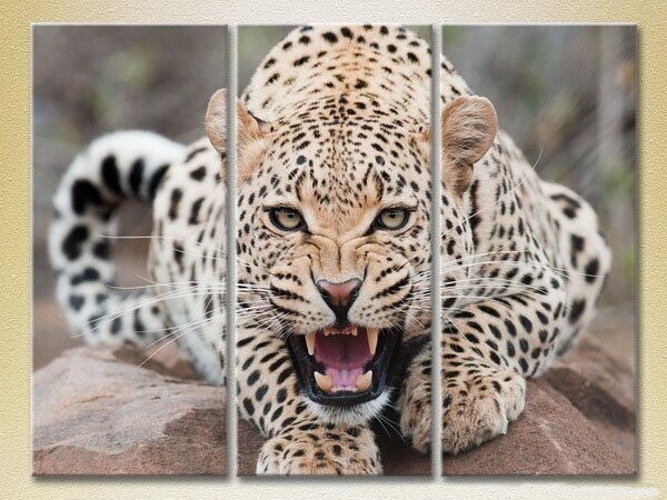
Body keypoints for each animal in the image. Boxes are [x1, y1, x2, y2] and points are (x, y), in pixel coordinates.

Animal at [49, 24, 611, 475]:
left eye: (392, 218)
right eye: (286, 218)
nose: (339, 292)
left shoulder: (540, 283)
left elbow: (480, 322)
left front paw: (458, 401)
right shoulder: (233, 308)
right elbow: (276, 377)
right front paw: (320, 452)